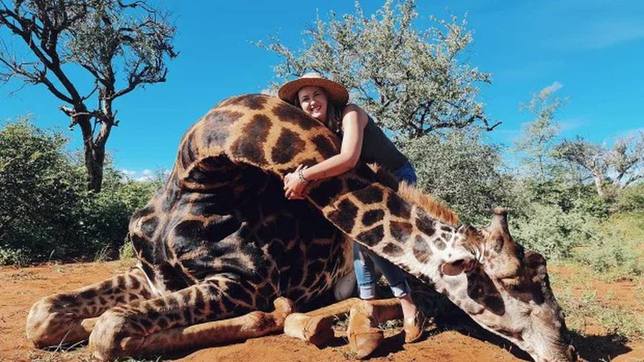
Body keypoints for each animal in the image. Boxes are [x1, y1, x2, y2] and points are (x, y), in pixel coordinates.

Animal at [26, 93, 580, 360]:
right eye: (516, 287)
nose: (567, 352)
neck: (197, 176)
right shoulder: (150, 273)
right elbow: (43, 315)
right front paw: (74, 325)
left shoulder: (244, 283)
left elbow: (110, 331)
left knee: (409, 301)